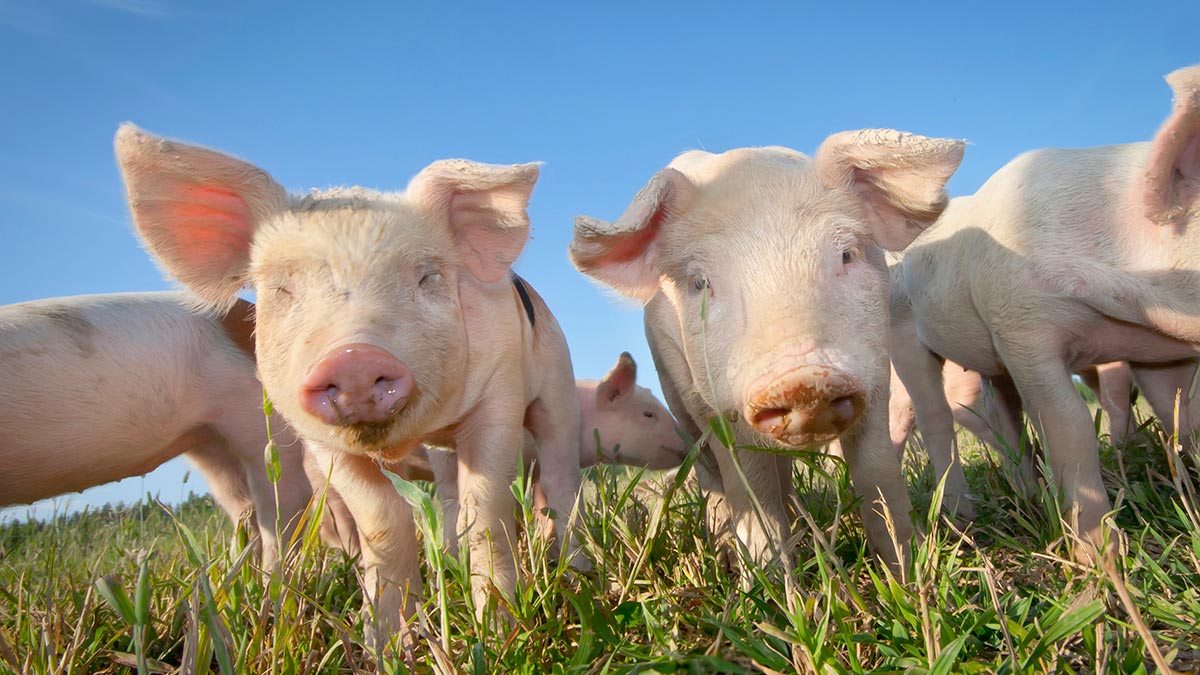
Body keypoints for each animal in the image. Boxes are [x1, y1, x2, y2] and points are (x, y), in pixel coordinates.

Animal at [114, 124, 583, 638]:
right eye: (281, 289)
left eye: (427, 276)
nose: (354, 357)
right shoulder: (321, 443)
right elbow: (382, 520)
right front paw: (387, 638)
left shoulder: (499, 393)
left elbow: (487, 510)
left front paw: (497, 629)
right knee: (448, 495)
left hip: (558, 383)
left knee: (559, 474)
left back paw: (576, 569)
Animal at [570, 131, 966, 575]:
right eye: (700, 282)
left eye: (846, 253)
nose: (802, 380)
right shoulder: (716, 407)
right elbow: (751, 490)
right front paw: (769, 583)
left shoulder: (876, 373)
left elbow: (877, 473)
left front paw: (907, 569)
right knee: (712, 477)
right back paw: (726, 550)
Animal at [894, 64, 1200, 559]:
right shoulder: (1022, 327)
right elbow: (1068, 423)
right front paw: (1101, 555)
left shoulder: (1157, 351)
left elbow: (1179, 412)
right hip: (903, 333)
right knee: (935, 417)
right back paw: (961, 520)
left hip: (990, 359)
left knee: (1004, 417)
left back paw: (1029, 495)